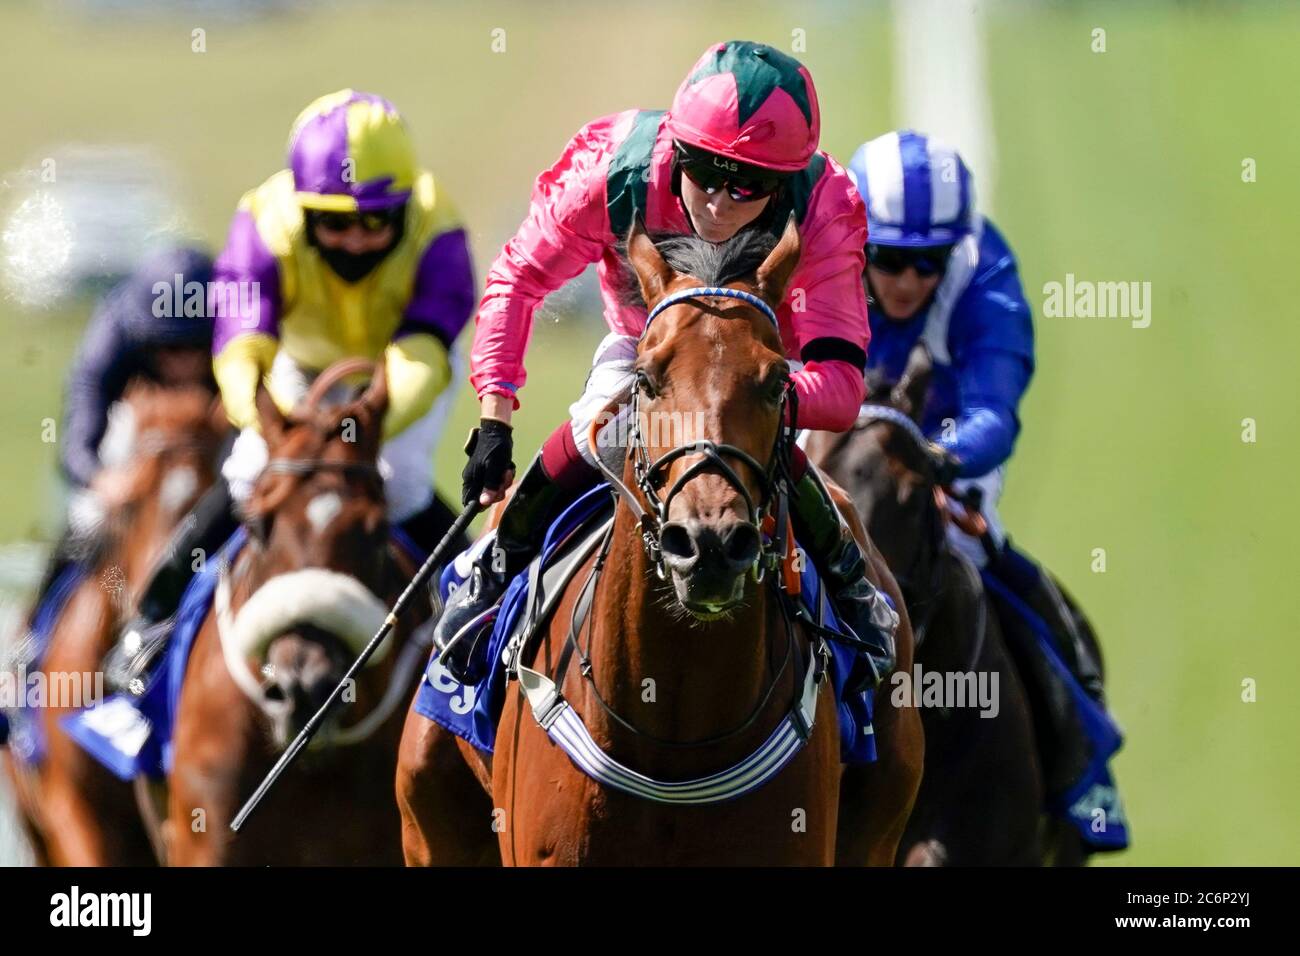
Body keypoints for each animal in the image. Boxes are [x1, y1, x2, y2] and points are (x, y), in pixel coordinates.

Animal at [395, 222, 925, 868]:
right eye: (647, 378)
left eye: (779, 381)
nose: (710, 544)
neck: (676, 727)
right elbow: (519, 277)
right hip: (429, 813)